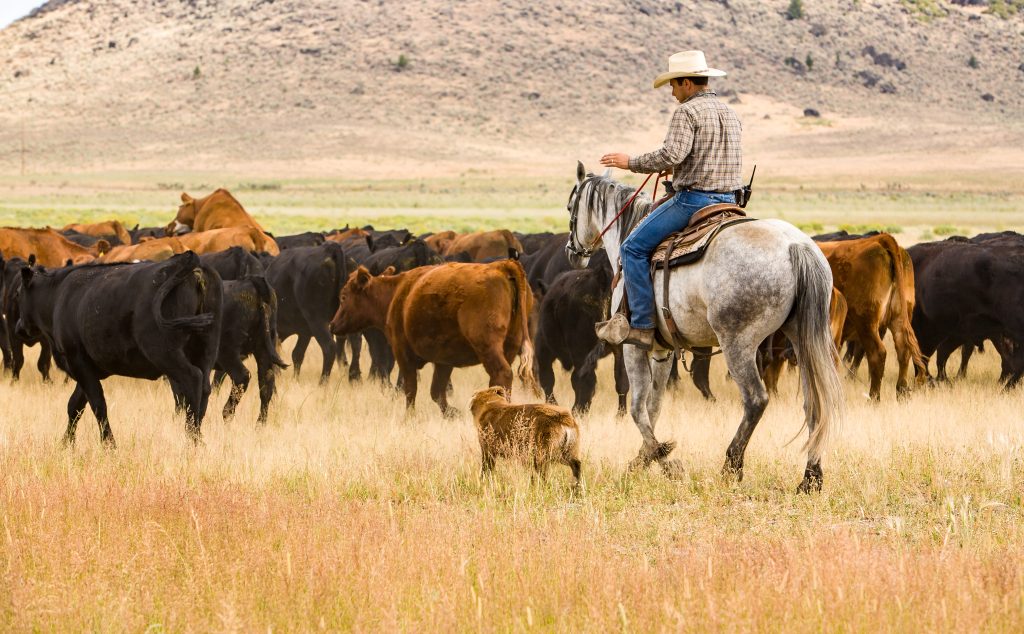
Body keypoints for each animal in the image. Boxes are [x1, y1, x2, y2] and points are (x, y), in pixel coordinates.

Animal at [16, 252, 225, 446]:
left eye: (18, 294)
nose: (19, 328)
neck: (58, 297)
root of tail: (188, 260)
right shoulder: (88, 367)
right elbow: (75, 405)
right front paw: (66, 443)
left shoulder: (76, 359)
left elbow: (97, 404)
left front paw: (109, 444)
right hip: (206, 349)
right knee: (205, 389)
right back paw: (199, 440)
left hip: (163, 351)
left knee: (192, 379)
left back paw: (192, 440)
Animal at [266, 241, 350, 381]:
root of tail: (329, 249)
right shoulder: (304, 331)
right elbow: (297, 354)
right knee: (340, 346)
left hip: (317, 320)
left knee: (329, 347)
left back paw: (323, 382)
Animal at [329, 260, 540, 413]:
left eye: (344, 296)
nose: (332, 325)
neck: (397, 294)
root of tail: (501, 266)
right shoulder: (443, 361)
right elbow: (437, 392)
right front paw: (453, 413)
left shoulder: (403, 354)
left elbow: (410, 389)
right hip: (510, 345)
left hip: (488, 346)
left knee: (501, 373)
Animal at [565, 162, 843, 491]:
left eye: (570, 206)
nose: (571, 251)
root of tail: (796, 246)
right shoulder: (662, 350)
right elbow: (654, 405)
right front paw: (645, 458)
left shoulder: (634, 345)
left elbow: (637, 407)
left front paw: (664, 459)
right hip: (802, 338)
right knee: (813, 403)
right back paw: (811, 478)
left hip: (737, 343)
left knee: (756, 400)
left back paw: (732, 466)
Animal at [815, 235, 929, 399]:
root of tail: (880, 240)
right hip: (899, 317)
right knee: (903, 349)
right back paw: (901, 393)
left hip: (866, 322)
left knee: (877, 354)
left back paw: (874, 397)